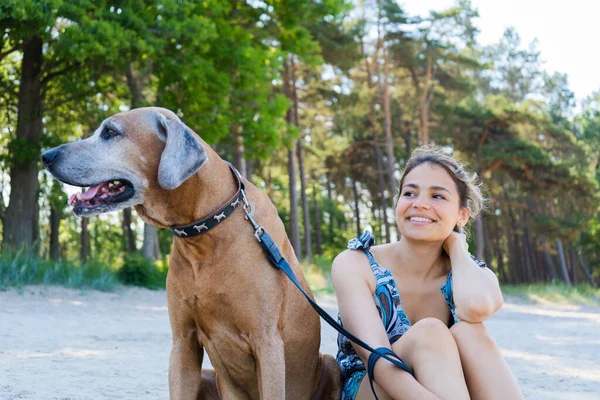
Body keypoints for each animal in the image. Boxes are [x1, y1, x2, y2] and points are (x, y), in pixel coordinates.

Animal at [41, 107, 340, 400]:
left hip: (331, 364)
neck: (206, 233)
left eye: (110, 132)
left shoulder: (267, 342)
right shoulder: (183, 341)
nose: (46, 155)